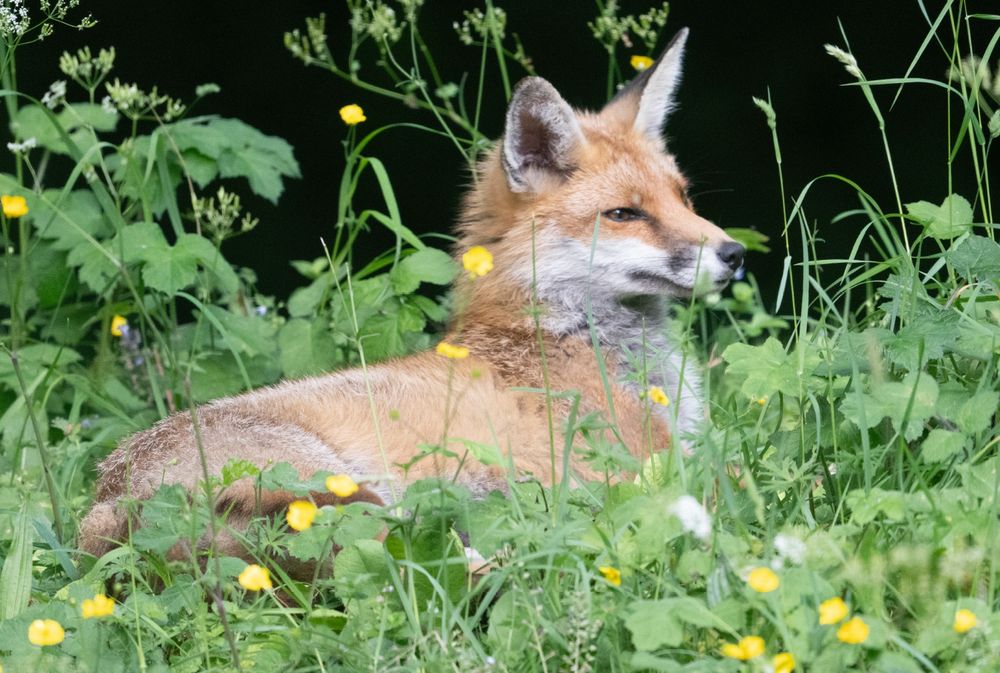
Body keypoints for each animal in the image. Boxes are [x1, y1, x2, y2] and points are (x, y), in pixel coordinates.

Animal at [79, 29, 744, 562]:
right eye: (624, 214)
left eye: (683, 197)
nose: (735, 253)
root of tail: (108, 502)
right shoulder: (649, 466)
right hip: (340, 492)